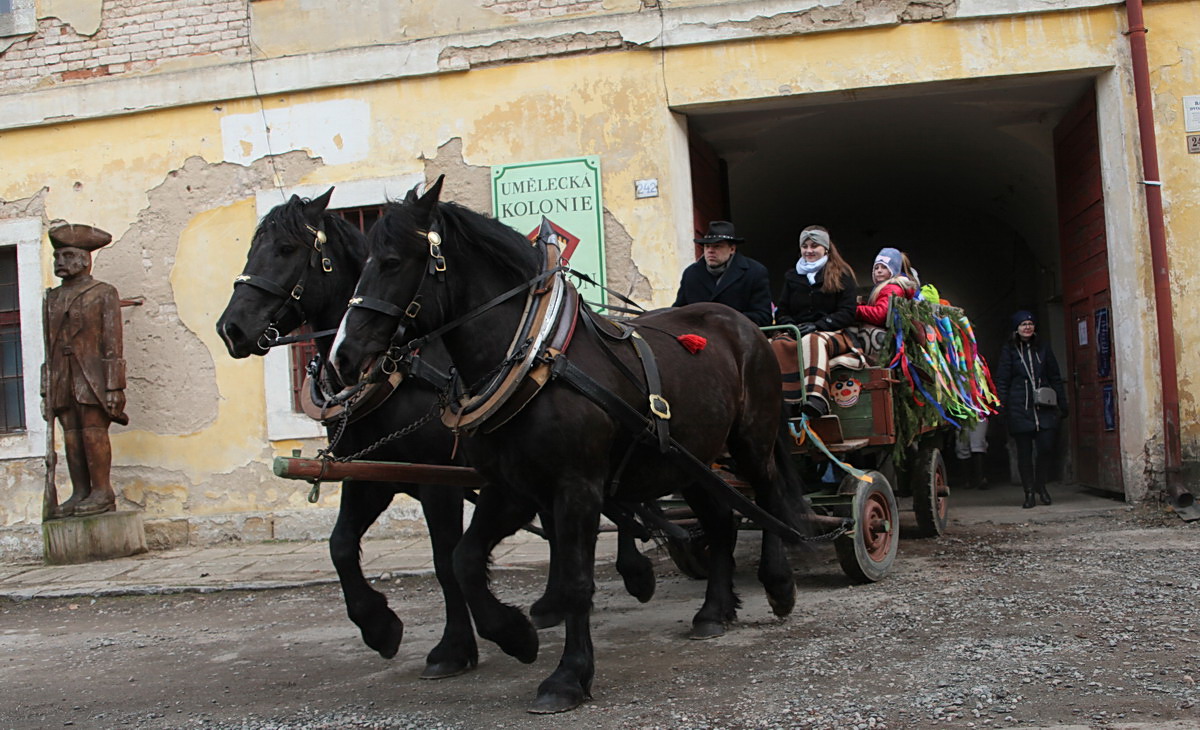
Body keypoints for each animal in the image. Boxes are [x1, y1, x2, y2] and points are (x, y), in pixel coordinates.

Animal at [211, 188, 652, 677]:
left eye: (286, 249)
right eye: (251, 248)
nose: (230, 329)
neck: (399, 373)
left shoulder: (439, 480)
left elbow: (445, 560)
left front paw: (457, 646)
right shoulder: (372, 473)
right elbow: (340, 545)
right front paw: (379, 627)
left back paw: (635, 571)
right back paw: (554, 602)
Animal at [333, 176, 811, 710]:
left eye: (392, 262)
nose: (343, 356)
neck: (534, 354)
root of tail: (745, 325)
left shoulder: (577, 487)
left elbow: (576, 580)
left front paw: (568, 675)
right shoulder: (510, 488)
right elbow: (464, 560)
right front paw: (514, 634)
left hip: (751, 441)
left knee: (768, 498)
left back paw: (779, 585)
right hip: (690, 460)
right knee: (723, 522)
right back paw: (714, 610)